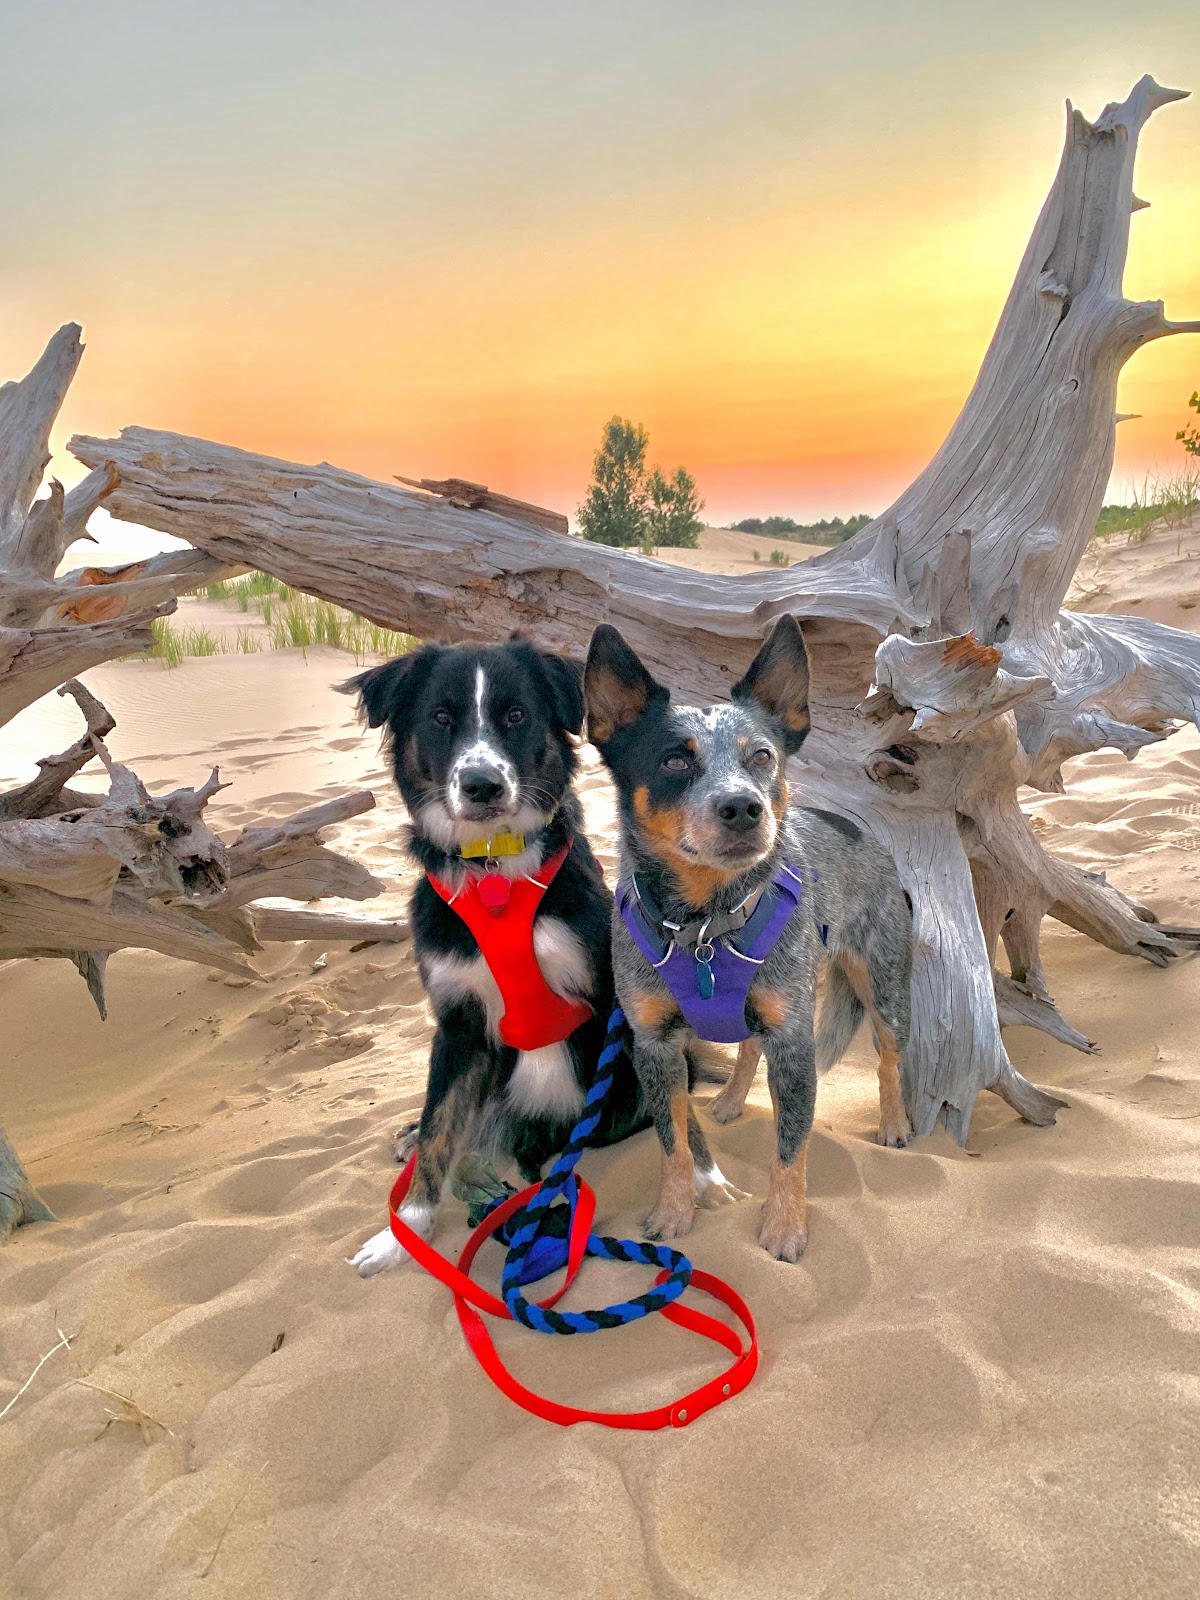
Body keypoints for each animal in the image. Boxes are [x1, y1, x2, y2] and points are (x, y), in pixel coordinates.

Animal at [342, 634, 652, 1277]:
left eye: (515, 715)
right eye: (441, 717)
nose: (482, 785)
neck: (494, 871)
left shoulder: (605, 1000)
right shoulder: (458, 1020)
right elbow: (439, 1125)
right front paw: (404, 1231)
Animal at [584, 613, 913, 1262]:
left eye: (762, 755)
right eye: (674, 762)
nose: (743, 806)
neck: (703, 924)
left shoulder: (794, 1041)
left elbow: (791, 1148)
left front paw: (785, 1229)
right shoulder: (653, 1044)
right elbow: (673, 1143)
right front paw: (673, 1213)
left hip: (881, 981)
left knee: (890, 1056)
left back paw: (893, 1123)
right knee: (745, 1047)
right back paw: (734, 1100)